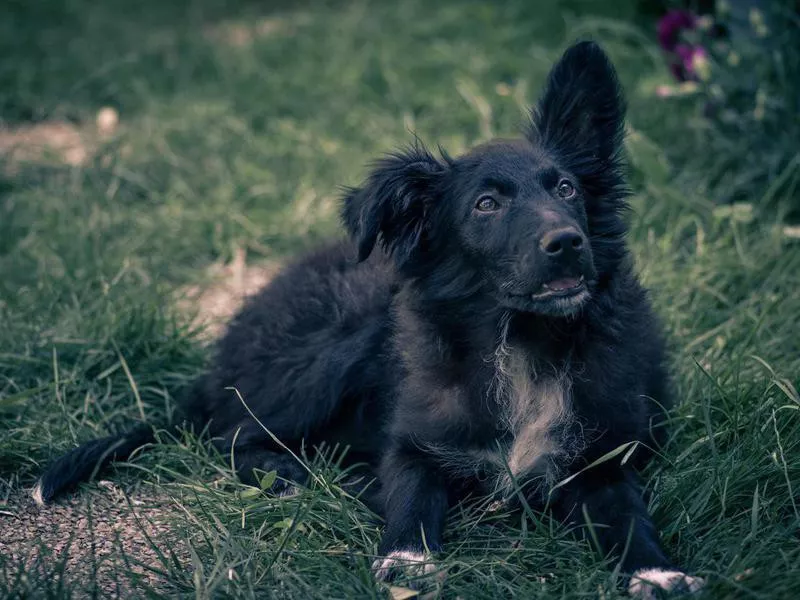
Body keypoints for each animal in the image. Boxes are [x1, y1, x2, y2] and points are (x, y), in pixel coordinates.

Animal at [34, 41, 704, 596]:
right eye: (486, 205)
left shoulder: (604, 456)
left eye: (565, 189)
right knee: (232, 440)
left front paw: (657, 571)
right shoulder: (412, 440)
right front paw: (407, 559)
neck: (519, 340)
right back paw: (315, 475)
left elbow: (629, 514)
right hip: (333, 347)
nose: (567, 242)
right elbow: (409, 491)